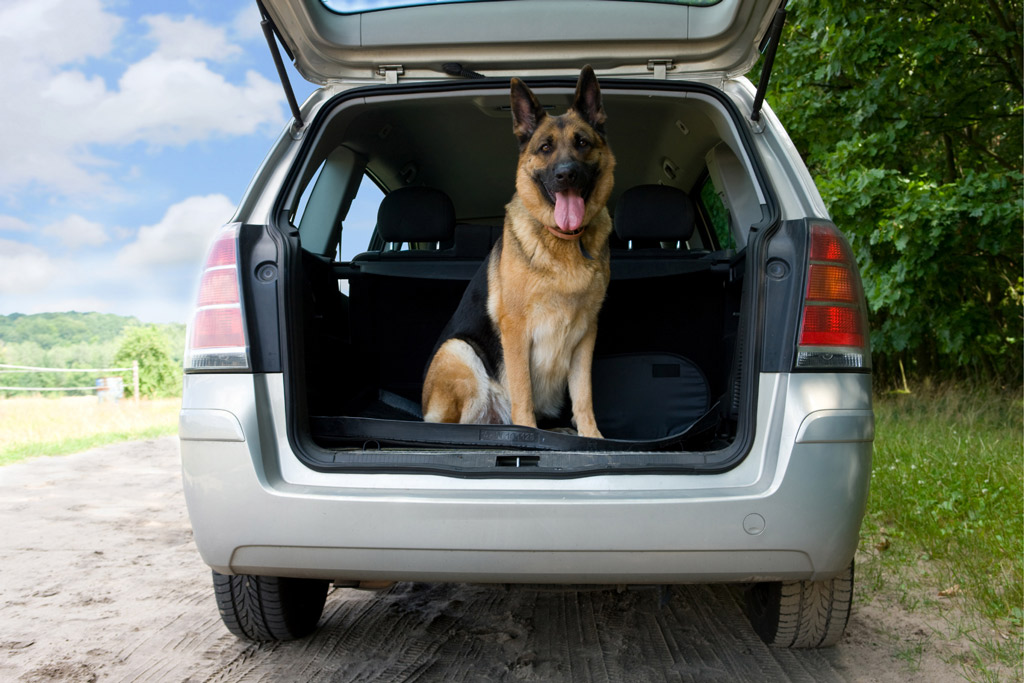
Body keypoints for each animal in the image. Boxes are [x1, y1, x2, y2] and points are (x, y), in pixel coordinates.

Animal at [419, 65, 610, 438]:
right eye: (545, 147)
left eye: (582, 142)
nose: (566, 175)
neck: (564, 240)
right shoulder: (517, 330)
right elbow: (523, 392)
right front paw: (529, 433)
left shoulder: (587, 333)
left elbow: (584, 395)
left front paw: (592, 437)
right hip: (459, 352)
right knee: (454, 426)